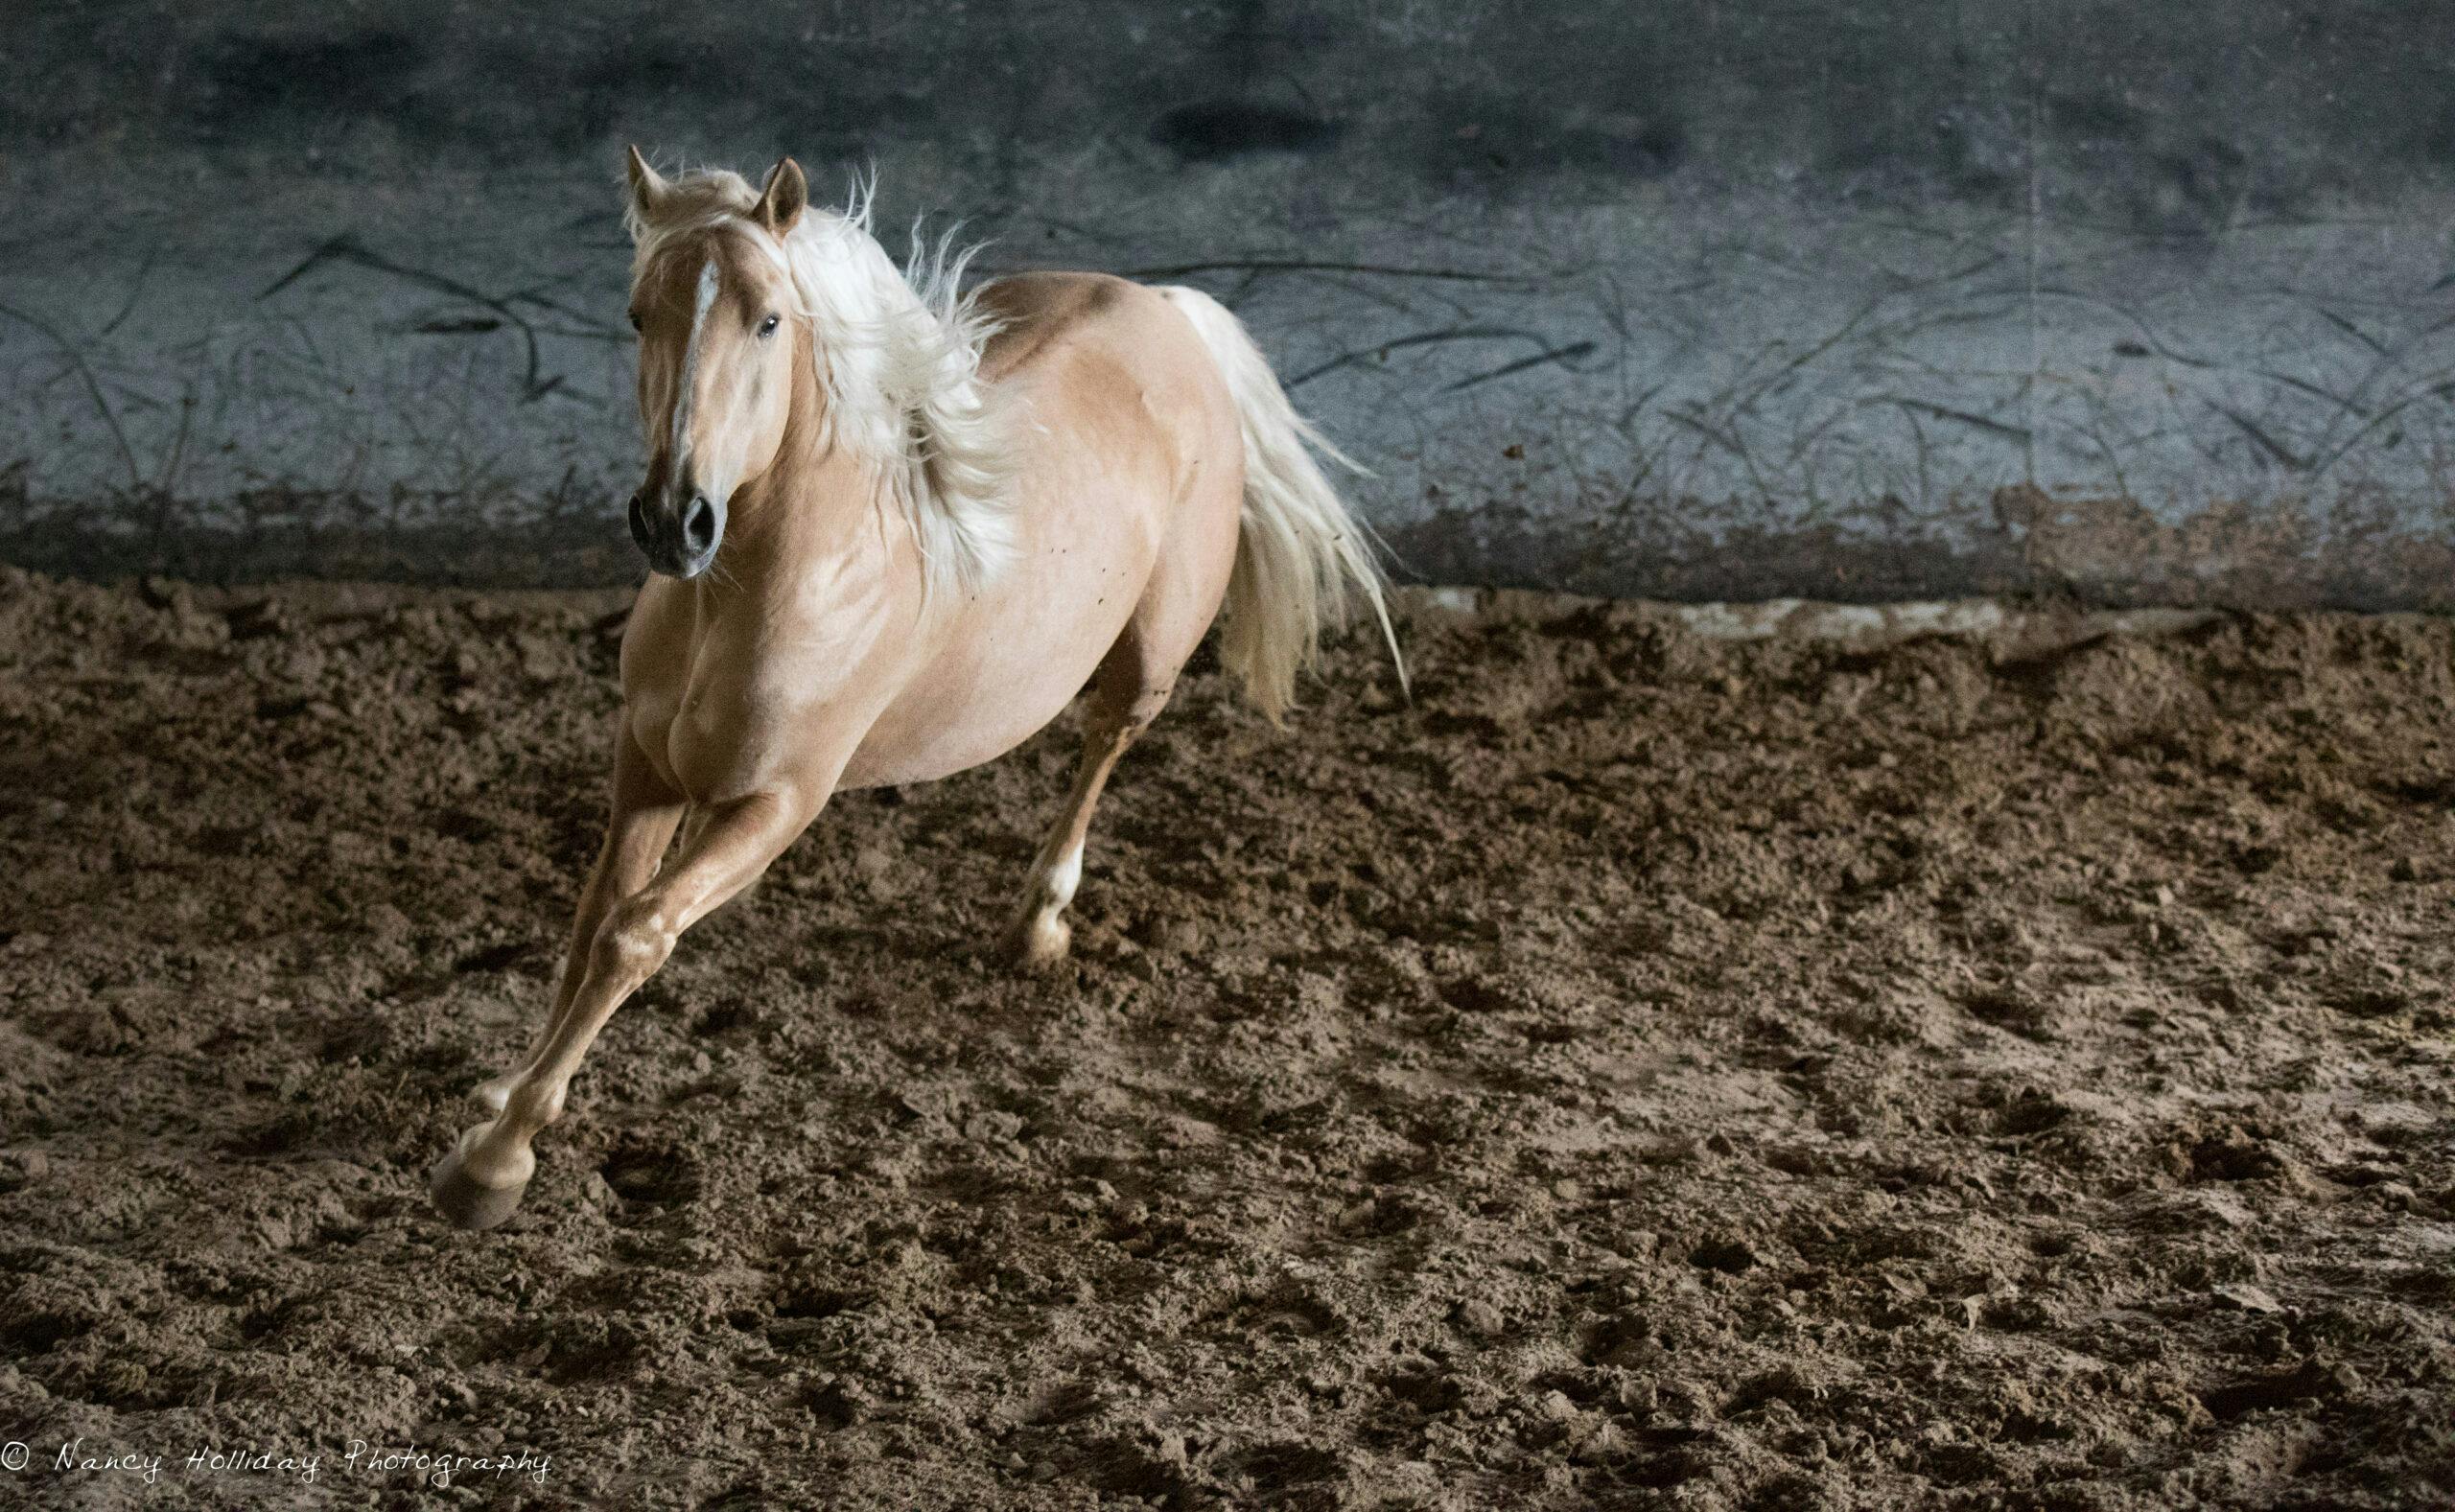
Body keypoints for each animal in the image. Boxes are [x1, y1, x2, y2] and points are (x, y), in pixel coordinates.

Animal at [432, 150, 1414, 1227]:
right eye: (638, 312)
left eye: (769, 320)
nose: (674, 521)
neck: (769, 585)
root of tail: (1169, 309)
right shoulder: (644, 765)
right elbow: (591, 919)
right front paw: (500, 1097)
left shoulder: (773, 805)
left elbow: (633, 935)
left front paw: (493, 1163)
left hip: (1149, 658)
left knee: (1105, 745)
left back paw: (1038, 924)